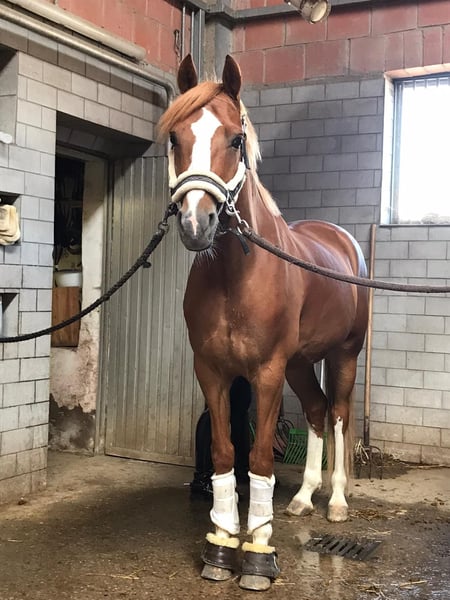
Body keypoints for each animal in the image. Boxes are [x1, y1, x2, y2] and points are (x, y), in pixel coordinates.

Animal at [157, 54, 369, 591]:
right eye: (175, 138)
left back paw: (335, 502)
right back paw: (302, 500)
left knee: (338, 414)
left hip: (343, 355)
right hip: (300, 363)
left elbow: (258, 459)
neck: (236, 274)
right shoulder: (213, 372)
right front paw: (219, 548)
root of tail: (342, 241)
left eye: (235, 139)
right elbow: (225, 454)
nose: (196, 224)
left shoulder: (267, 373)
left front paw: (256, 555)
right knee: (315, 412)